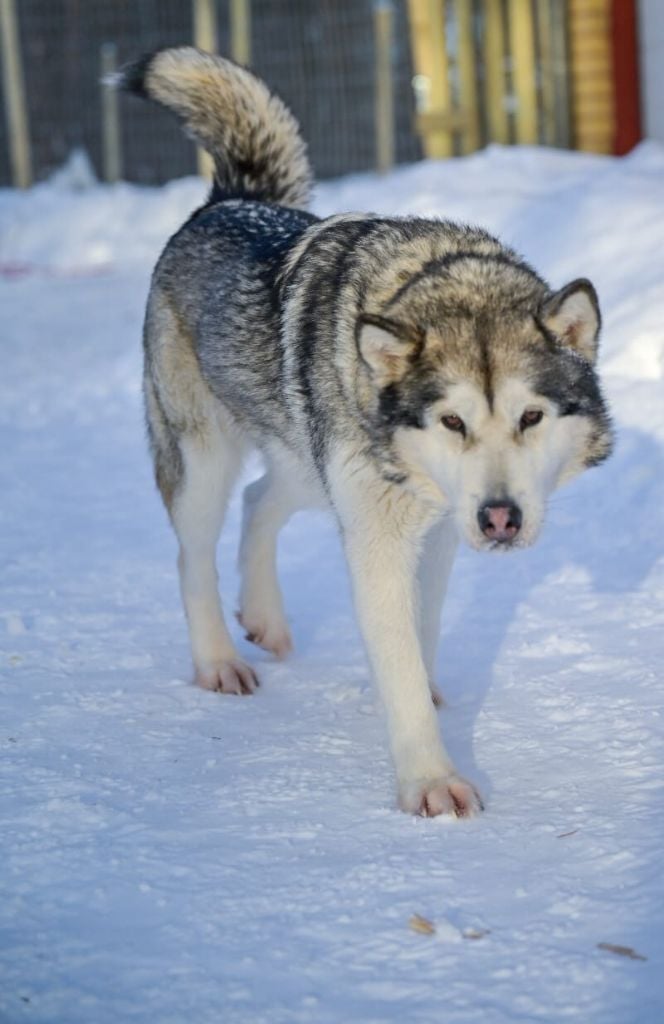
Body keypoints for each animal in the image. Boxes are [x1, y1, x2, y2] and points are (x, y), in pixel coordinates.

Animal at [116, 48, 614, 819]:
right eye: (453, 421)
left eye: (530, 417)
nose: (500, 518)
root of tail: (227, 200)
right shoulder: (381, 536)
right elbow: (398, 659)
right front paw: (431, 781)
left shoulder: (437, 529)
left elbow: (422, 631)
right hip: (205, 461)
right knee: (193, 555)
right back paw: (220, 661)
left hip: (307, 463)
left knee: (261, 500)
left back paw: (265, 619)